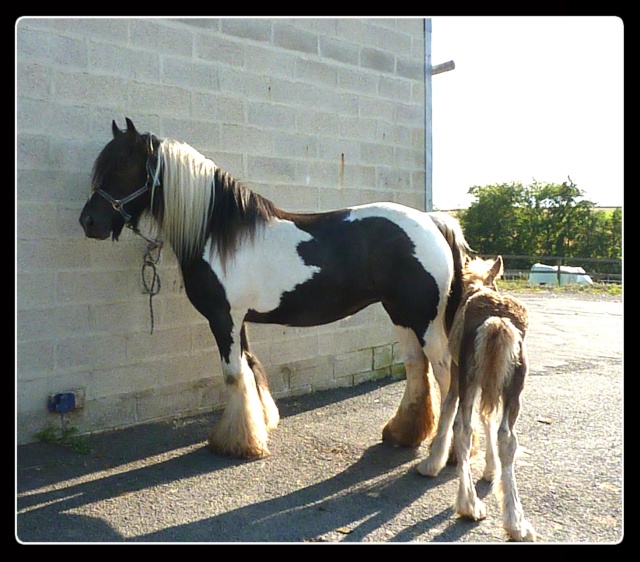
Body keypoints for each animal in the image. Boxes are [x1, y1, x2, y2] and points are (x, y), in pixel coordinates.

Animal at [79, 118, 470, 460]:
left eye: (122, 168)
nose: (89, 222)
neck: (218, 232)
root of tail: (432, 220)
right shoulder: (238, 319)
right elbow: (250, 366)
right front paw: (259, 426)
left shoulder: (223, 318)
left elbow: (233, 374)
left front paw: (237, 444)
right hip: (400, 313)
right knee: (417, 367)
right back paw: (404, 434)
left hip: (423, 319)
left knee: (445, 372)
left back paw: (447, 451)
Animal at [418, 256, 536, 540]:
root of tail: (497, 321)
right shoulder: (489, 383)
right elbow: (488, 418)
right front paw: (491, 469)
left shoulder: (456, 371)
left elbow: (449, 409)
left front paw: (432, 462)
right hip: (514, 386)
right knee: (508, 437)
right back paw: (516, 523)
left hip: (468, 378)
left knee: (463, 427)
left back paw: (469, 505)